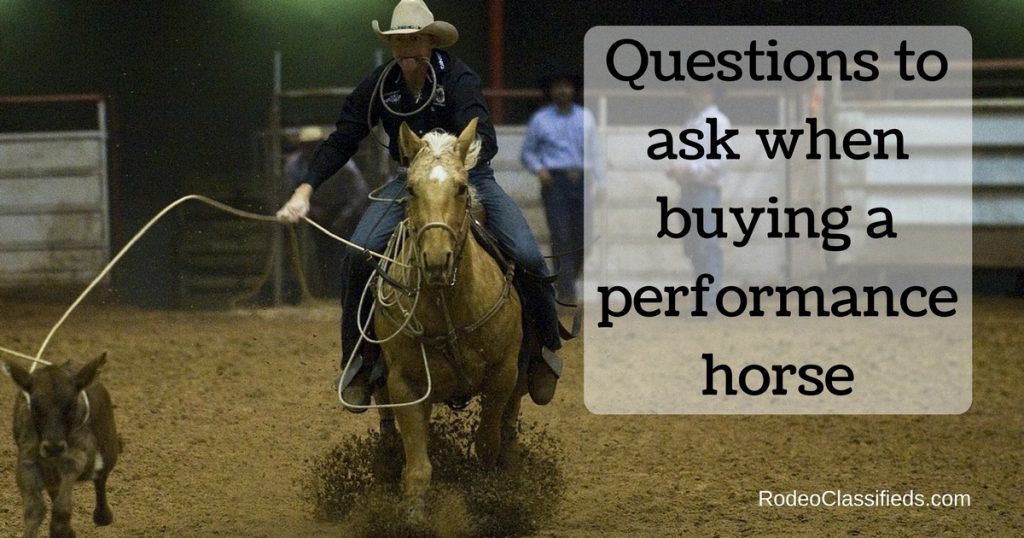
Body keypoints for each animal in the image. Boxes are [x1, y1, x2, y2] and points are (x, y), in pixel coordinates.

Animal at [370, 118, 526, 511]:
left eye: (460, 187)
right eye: (411, 189)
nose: (437, 259)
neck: (448, 307)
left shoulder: (503, 374)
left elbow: (486, 446)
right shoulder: (406, 385)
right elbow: (418, 470)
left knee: (508, 425)